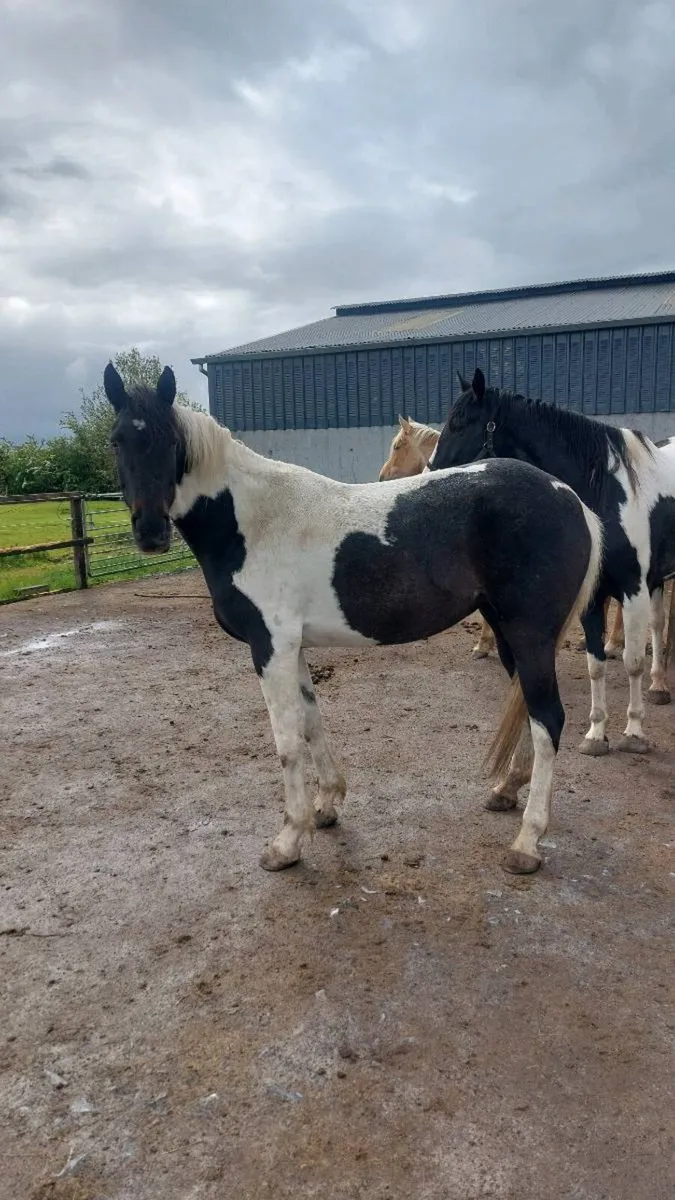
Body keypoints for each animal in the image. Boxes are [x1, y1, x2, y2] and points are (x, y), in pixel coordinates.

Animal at [103, 361, 602, 876]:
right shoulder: (293, 648)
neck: (250, 521)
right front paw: (326, 807)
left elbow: (287, 742)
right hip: (508, 634)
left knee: (549, 720)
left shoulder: (270, 647)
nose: (150, 533)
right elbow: (311, 722)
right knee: (528, 709)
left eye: (170, 442)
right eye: (117, 441)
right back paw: (505, 792)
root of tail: (570, 499)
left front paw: (287, 841)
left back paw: (527, 842)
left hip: (531, 636)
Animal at [430, 368, 675, 783]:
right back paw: (659, 686)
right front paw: (596, 734)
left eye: (461, 423)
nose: (430, 472)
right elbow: (596, 665)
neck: (608, 489)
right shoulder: (596, 596)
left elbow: (631, 662)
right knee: (659, 626)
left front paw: (634, 733)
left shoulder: (633, 589)